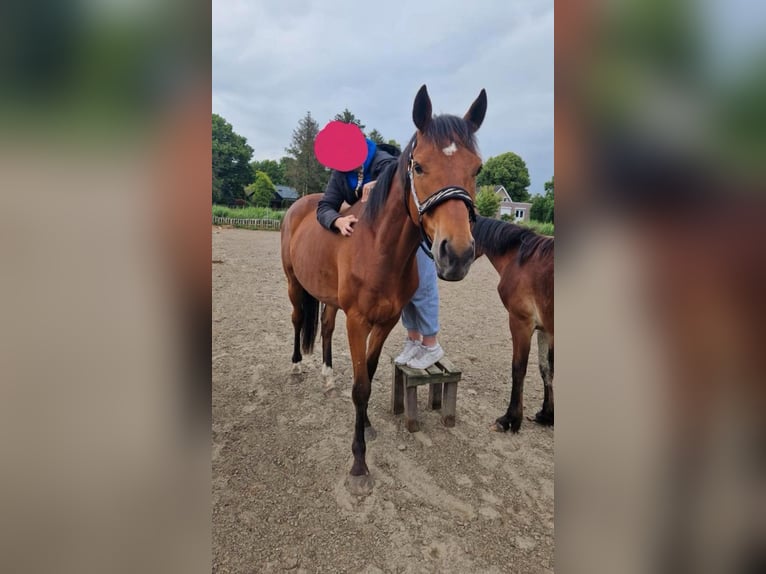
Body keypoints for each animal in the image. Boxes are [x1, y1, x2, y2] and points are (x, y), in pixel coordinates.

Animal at [280, 84, 486, 496]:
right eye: (419, 165)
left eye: (477, 168)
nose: (456, 254)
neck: (377, 248)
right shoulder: (358, 321)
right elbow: (360, 387)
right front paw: (359, 465)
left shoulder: (386, 321)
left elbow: (370, 377)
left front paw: (367, 426)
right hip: (295, 283)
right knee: (297, 320)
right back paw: (297, 368)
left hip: (328, 298)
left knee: (325, 328)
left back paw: (327, 377)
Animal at [472, 215, 556, 432]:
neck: (519, 260)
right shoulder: (545, 330)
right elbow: (546, 369)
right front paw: (547, 414)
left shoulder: (521, 323)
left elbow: (518, 368)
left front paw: (510, 419)